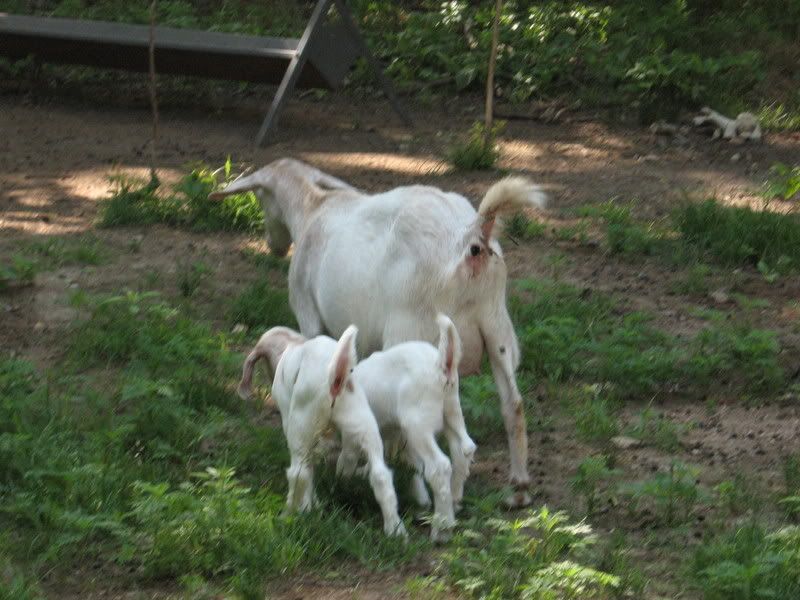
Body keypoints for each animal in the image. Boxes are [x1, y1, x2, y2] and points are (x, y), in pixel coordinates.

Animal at [212, 158, 546, 506]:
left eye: (261, 197)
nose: (273, 247)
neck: (312, 209)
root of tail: (472, 237)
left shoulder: (307, 312)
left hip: (412, 329)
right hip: (497, 328)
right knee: (513, 405)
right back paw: (518, 488)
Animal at [238, 325, 406, 537]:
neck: (291, 344)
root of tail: (335, 375)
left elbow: (308, 472)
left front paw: (309, 506)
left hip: (300, 427)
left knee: (299, 473)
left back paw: (289, 514)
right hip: (363, 423)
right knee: (381, 476)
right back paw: (395, 530)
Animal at [339, 314, 476, 541]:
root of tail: (441, 365)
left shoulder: (356, 432)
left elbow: (347, 458)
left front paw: (344, 478)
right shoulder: (397, 432)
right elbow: (411, 462)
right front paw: (420, 498)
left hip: (418, 423)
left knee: (439, 466)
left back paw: (442, 528)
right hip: (451, 411)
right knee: (463, 450)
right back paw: (454, 502)